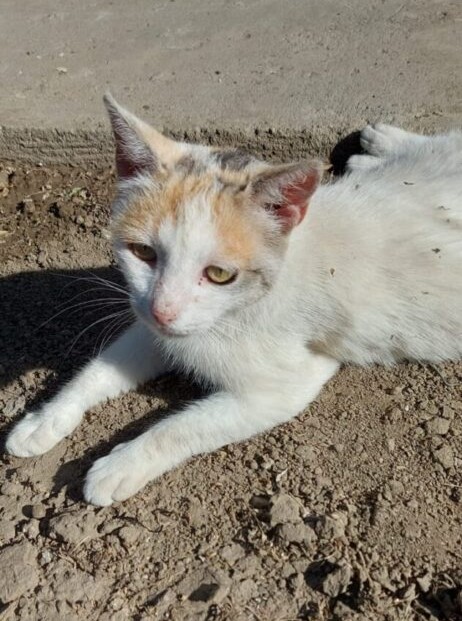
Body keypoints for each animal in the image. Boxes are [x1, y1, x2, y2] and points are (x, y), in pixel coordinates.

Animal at [5, 94, 462, 506]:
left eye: (220, 275)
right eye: (143, 253)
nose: (163, 311)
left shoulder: (288, 383)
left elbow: (182, 426)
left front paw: (121, 465)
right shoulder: (153, 325)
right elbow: (98, 370)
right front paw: (45, 419)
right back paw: (377, 147)